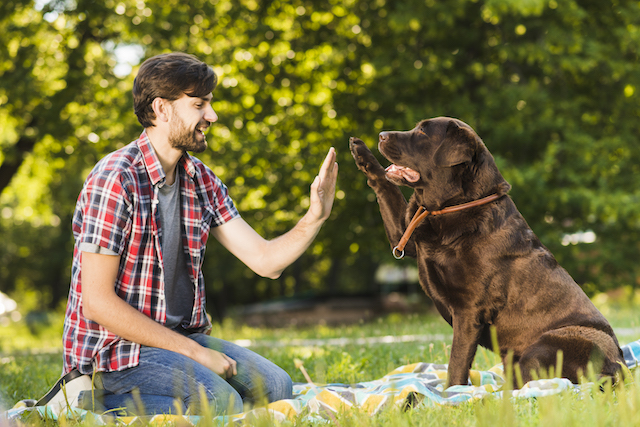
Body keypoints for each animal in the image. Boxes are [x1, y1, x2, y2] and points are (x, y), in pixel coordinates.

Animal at [350, 117, 624, 388]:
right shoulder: (405, 237)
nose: (381, 134)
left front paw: (450, 394)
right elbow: (387, 188)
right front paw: (361, 152)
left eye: (423, 133)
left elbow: (456, 364)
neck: (454, 207)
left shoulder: (469, 310)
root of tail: (619, 370)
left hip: (545, 346)